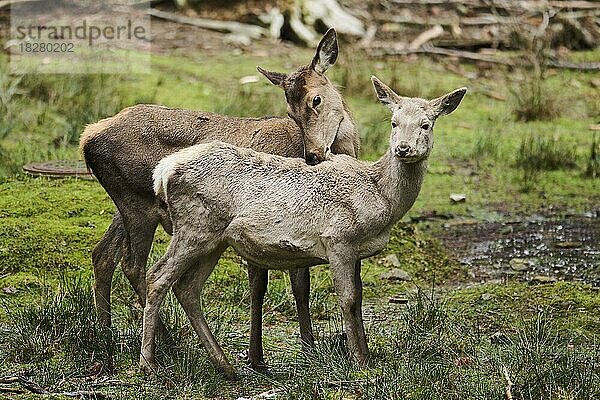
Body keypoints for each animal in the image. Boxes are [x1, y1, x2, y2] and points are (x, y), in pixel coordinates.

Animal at [80, 29, 360, 370]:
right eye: (291, 113)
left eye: (315, 99)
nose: (313, 155)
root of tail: (87, 138)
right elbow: (266, 286)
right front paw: (263, 356)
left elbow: (299, 285)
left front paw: (305, 348)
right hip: (138, 206)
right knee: (133, 264)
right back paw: (165, 341)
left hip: (125, 204)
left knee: (102, 254)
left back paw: (106, 335)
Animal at [142, 76, 468, 378]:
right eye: (393, 122)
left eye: (426, 125)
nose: (402, 148)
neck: (381, 199)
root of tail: (164, 170)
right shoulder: (338, 239)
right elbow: (348, 299)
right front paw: (358, 362)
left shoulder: (358, 251)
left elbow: (359, 299)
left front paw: (366, 356)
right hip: (194, 225)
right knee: (157, 277)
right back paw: (149, 363)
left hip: (214, 238)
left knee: (187, 287)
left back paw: (225, 366)